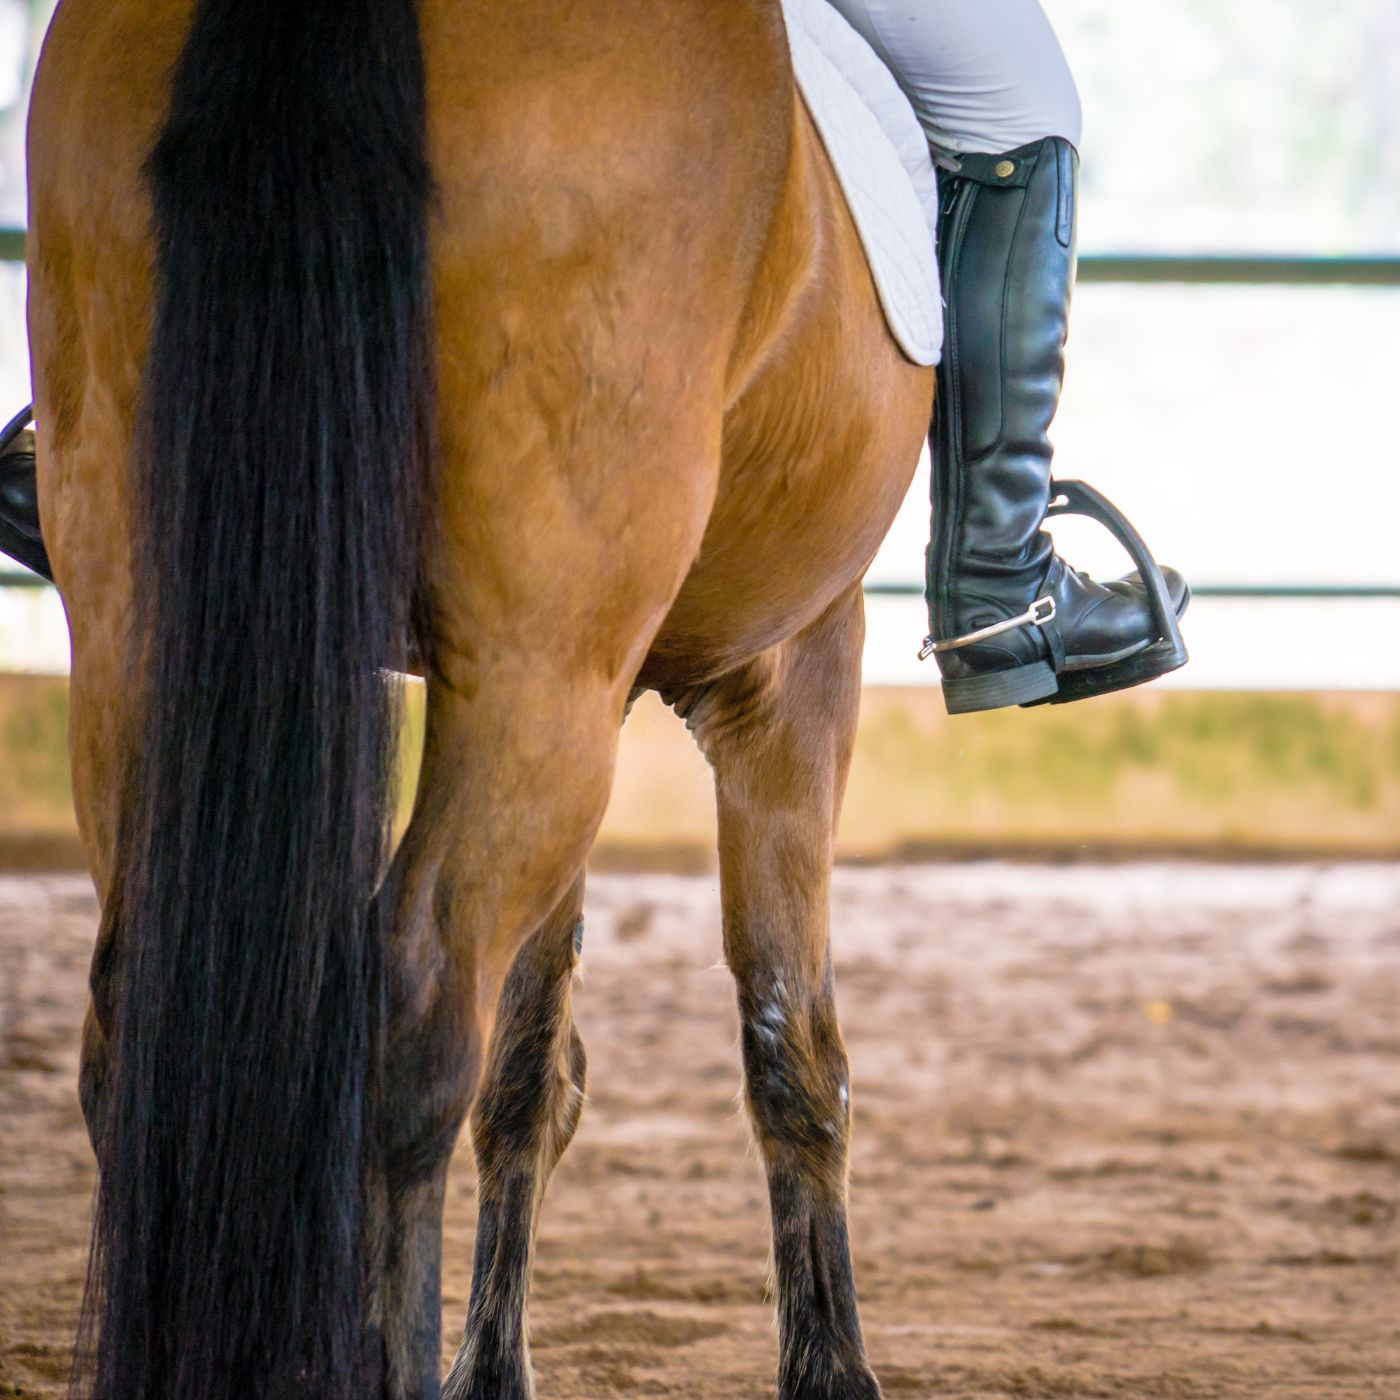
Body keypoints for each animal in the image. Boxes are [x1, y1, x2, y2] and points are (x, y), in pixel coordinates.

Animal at [27, 0, 932, 1394]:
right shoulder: (788, 666)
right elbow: (792, 1047)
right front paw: (828, 1368)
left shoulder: (601, 688)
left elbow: (532, 1064)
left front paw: (492, 1360)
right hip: (539, 671)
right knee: (411, 1012)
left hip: (150, 629)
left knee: (145, 1015)